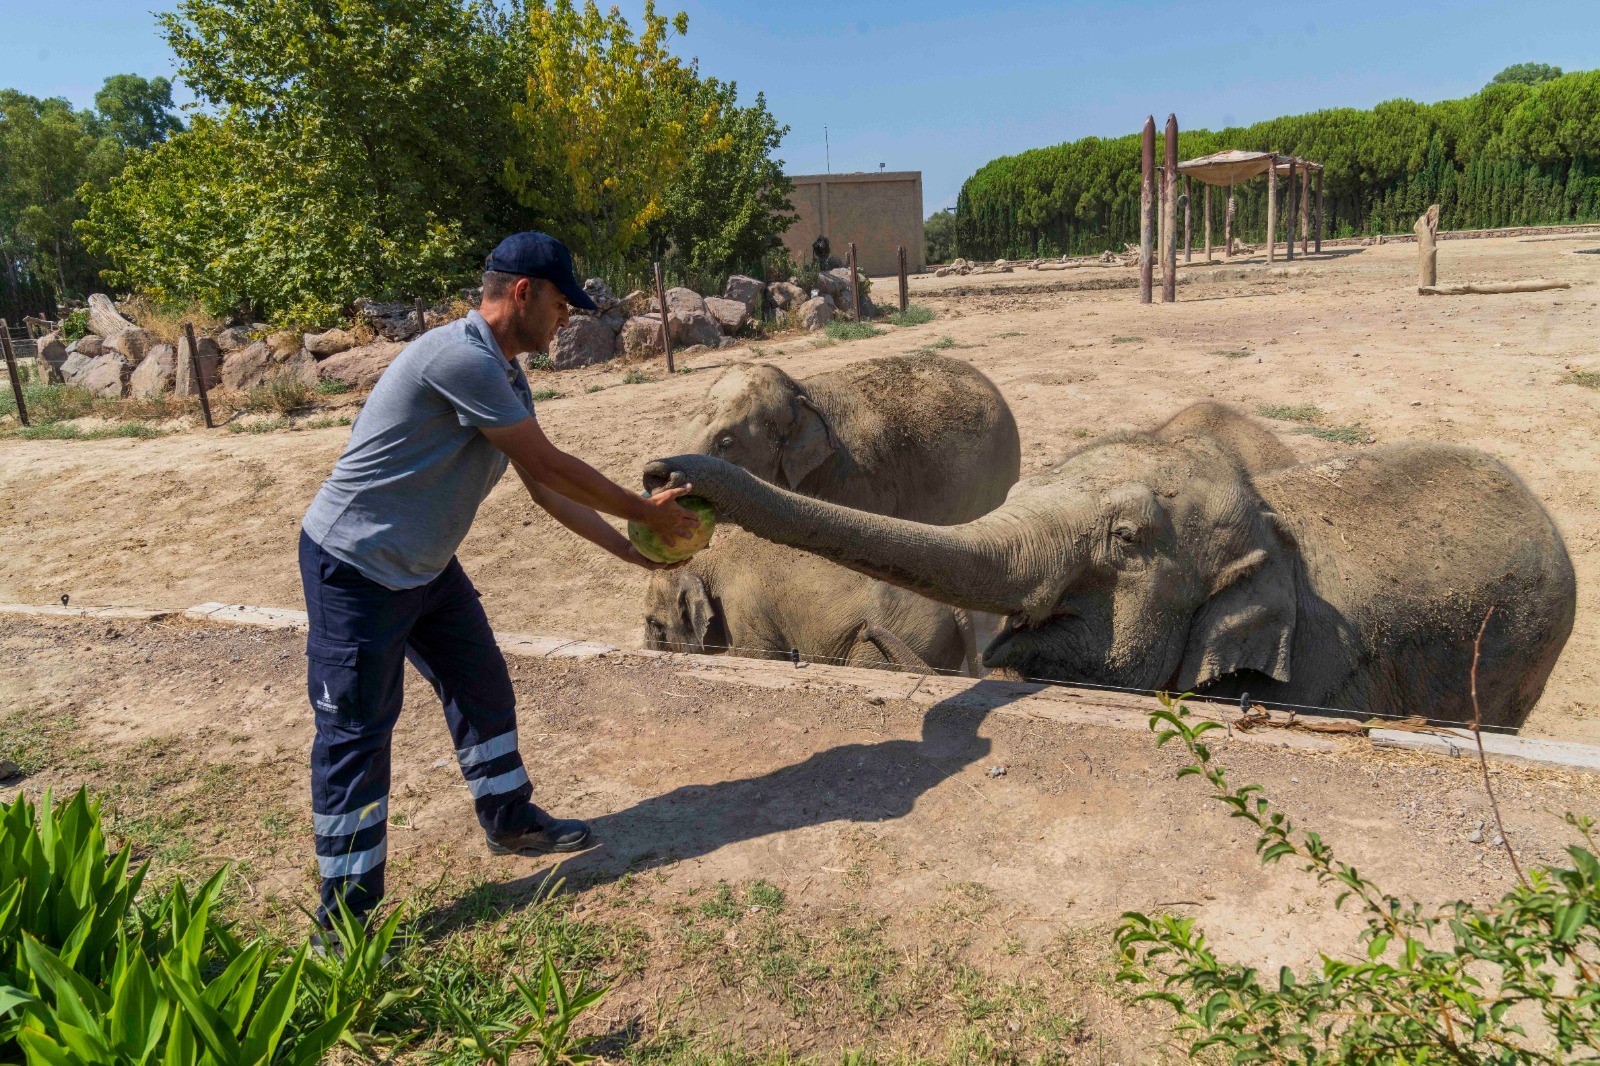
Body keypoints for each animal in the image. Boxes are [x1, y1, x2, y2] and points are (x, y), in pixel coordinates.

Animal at [643, 524, 979, 672]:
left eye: (653, 623)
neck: (707, 560)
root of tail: (955, 607)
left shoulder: (744, 617)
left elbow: (760, 655)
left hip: (904, 635)